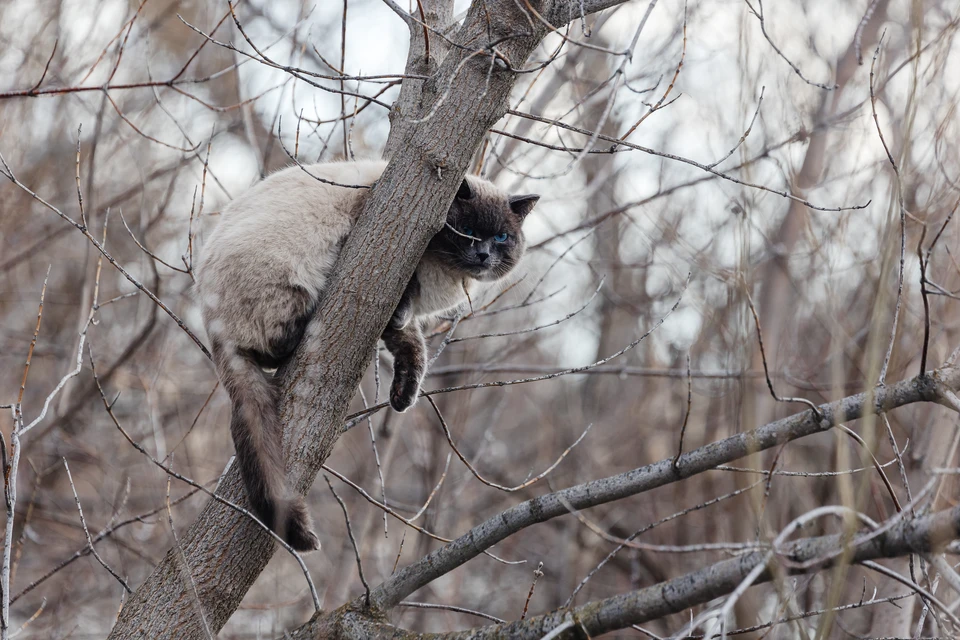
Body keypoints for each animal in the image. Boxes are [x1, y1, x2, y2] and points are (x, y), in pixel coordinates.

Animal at [195, 160, 540, 552]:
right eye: (466, 231)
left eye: (501, 238)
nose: (483, 255)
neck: (447, 277)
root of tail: (212, 325)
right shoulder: (396, 276)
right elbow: (407, 303)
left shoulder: (397, 323)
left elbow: (412, 351)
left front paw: (402, 398)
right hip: (287, 277)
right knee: (280, 345)